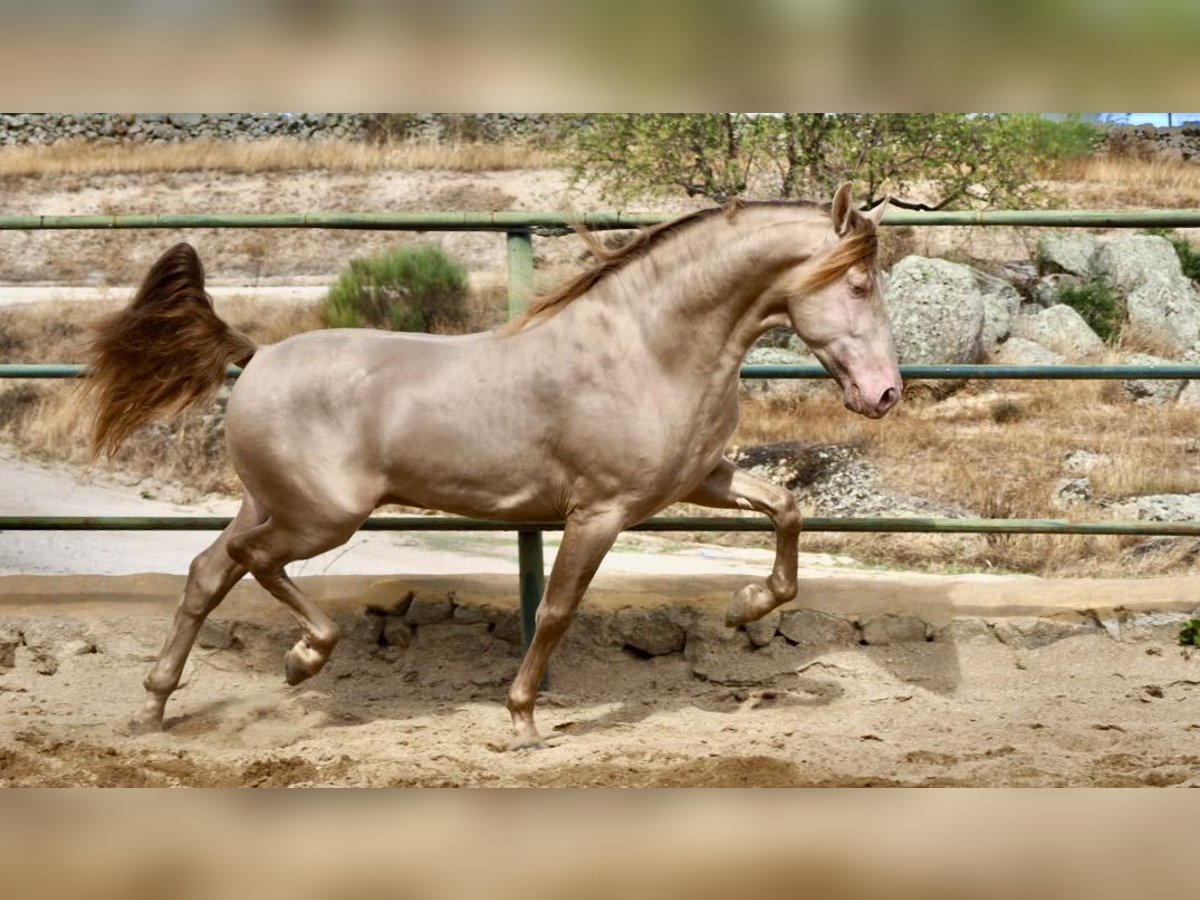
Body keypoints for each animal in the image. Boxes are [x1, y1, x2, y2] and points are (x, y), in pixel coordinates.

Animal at [84, 181, 902, 748]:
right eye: (860, 284)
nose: (885, 393)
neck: (648, 348)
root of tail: (256, 354)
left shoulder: (700, 478)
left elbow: (787, 510)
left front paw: (744, 606)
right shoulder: (599, 511)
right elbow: (558, 611)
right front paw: (522, 722)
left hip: (271, 503)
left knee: (208, 571)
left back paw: (154, 706)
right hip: (321, 517)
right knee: (252, 563)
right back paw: (301, 659)